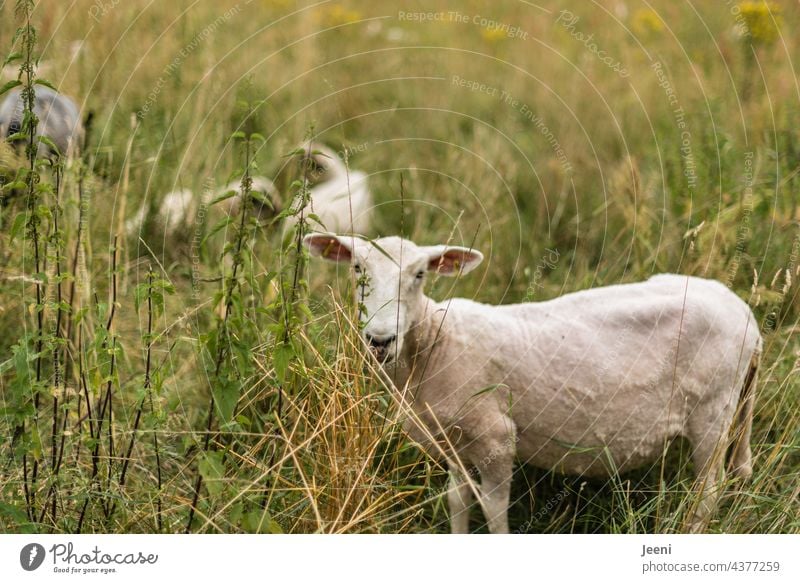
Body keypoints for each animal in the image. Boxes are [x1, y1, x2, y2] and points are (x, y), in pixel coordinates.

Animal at [306, 233, 764, 532]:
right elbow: (458, 501)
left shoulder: (496, 438)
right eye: (357, 268)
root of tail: (744, 313)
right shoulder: (454, 441)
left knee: (707, 493)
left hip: (712, 412)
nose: (380, 339)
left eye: (420, 275)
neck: (437, 340)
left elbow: (494, 511)